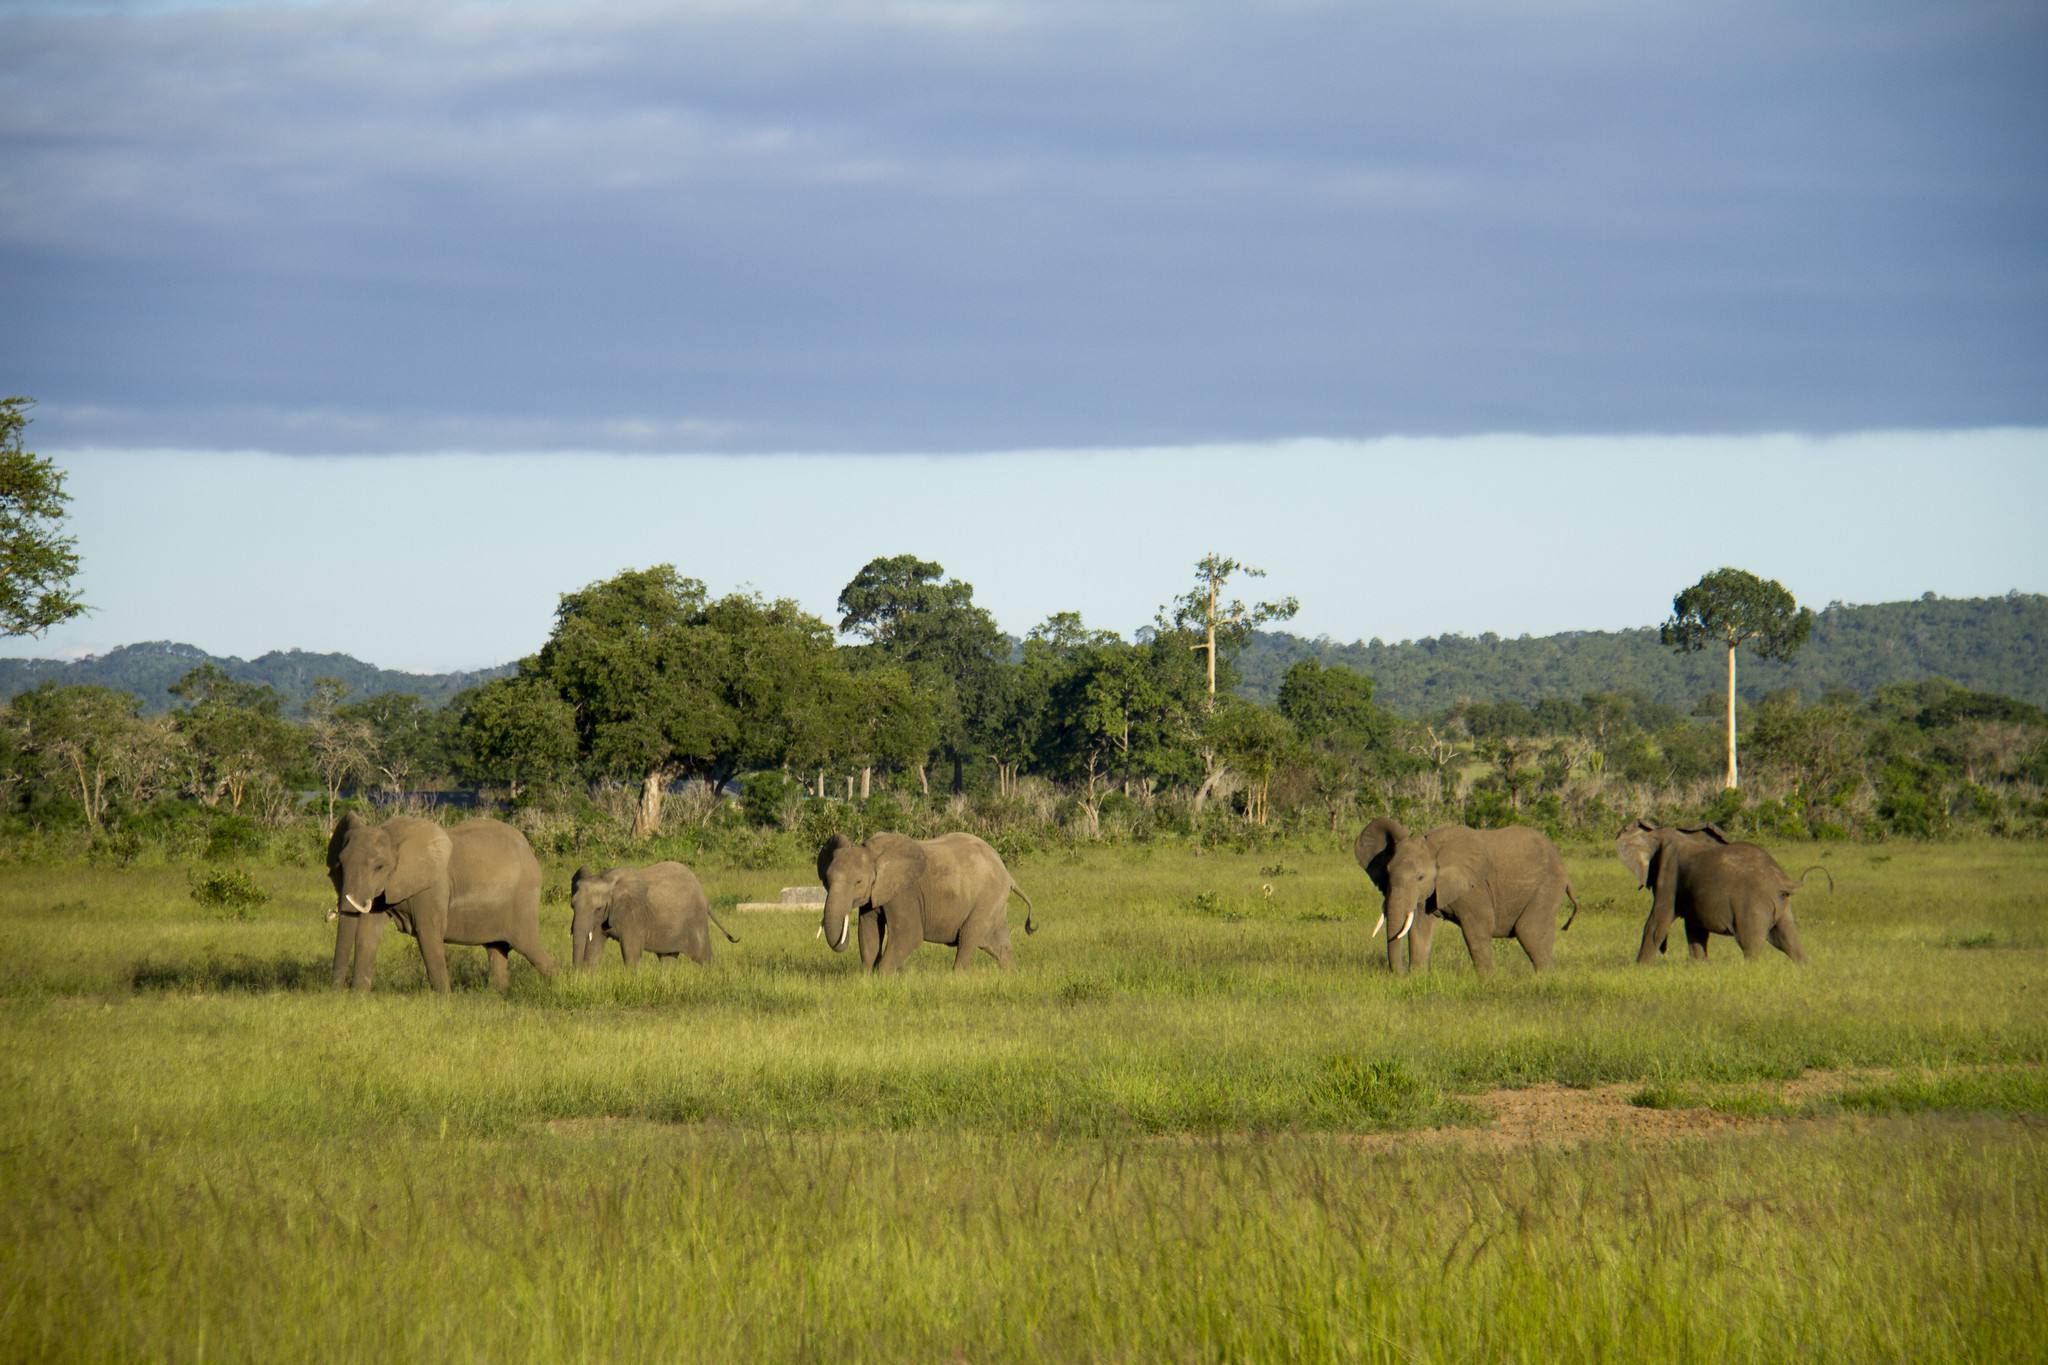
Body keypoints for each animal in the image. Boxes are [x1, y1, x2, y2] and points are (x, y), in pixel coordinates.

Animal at [326, 812, 557, 992]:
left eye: (379, 867)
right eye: (340, 865)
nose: (335, 992)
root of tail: (529, 851)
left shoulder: (433, 886)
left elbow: (428, 932)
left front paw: (444, 999)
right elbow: (368, 934)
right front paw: (358, 996)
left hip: (523, 899)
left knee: (528, 945)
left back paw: (559, 984)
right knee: (496, 948)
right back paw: (497, 994)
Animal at [569, 861, 739, 968]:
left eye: (598, 908)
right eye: (572, 906)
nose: (576, 972)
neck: (606, 879)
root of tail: (705, 898)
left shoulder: (633, 913)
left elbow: (631, 950)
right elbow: (594, 948)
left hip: (695, 921)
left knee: (703, 957)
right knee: (668, 958)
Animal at [817, 831, 1036, 972]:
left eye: (858, 882)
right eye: (826, 880)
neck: (873, 853)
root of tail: (1008, 875)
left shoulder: (904, 892)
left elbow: (909, 935)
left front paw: (883, 976)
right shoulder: (875, 893)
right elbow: (869, 933)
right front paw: (866, 977)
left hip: (986, 898)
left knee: (968, 938)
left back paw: (956, 977)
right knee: (998, 944)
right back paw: (1012, 974)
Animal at [1353, 818, 1579, 974]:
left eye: (1420, 877)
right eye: (1387, 873)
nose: (1400, 974)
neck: (1435, 849)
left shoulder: (1473, 887)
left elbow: (1477, 929)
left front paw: (1489, 980)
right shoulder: (1427, 893)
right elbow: (1419, 929)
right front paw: (1417, 977)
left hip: (1548, 885)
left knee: (1529, 932)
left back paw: (1544, 978)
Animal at [1615, 819, 1828, 964]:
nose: (1664, 950)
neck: (1656, 832)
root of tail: (1783, 879)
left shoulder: (1669, 875)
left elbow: (1656, 923)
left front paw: (1639, 968)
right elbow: (1695, 930)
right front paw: (1700, 967)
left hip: (1753, 905)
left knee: (1751, 944)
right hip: (1781, 905)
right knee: (1789, 941)